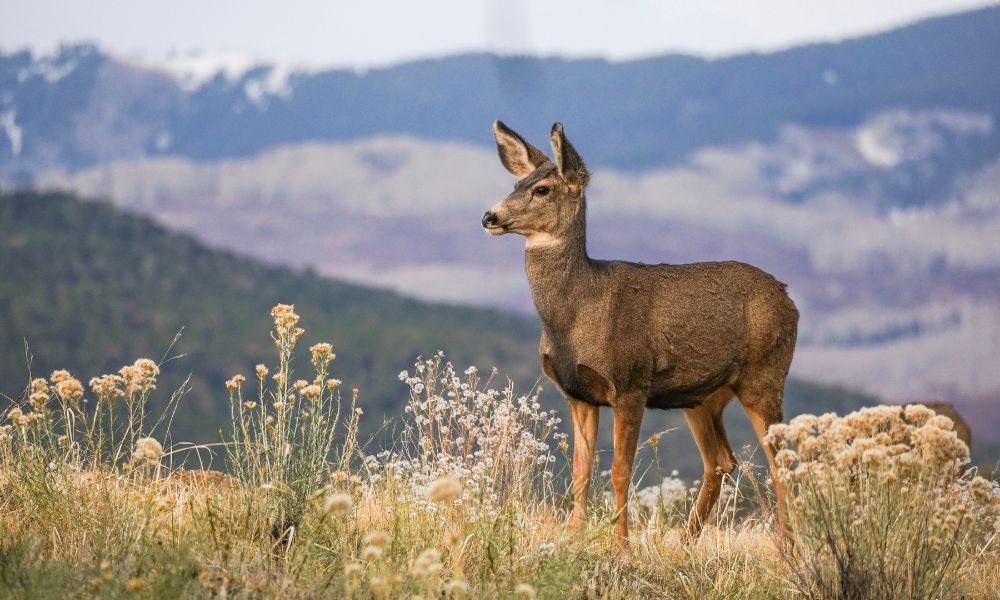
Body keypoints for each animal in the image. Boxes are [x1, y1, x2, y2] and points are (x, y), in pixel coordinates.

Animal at [480, 119, 800, 548]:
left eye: (542, 189)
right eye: (517, 183)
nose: (489, 216)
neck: (579, 311)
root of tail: (788, 298)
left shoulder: (630, 383)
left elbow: (620, 471)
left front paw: (622, 546)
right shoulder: (577, 393)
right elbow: (581, 472)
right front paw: (572, 537)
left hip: (764, 375)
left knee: (780, 459)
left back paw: (785, 546)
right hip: (702, 396)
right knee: (721, 460)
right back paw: (684, 543)